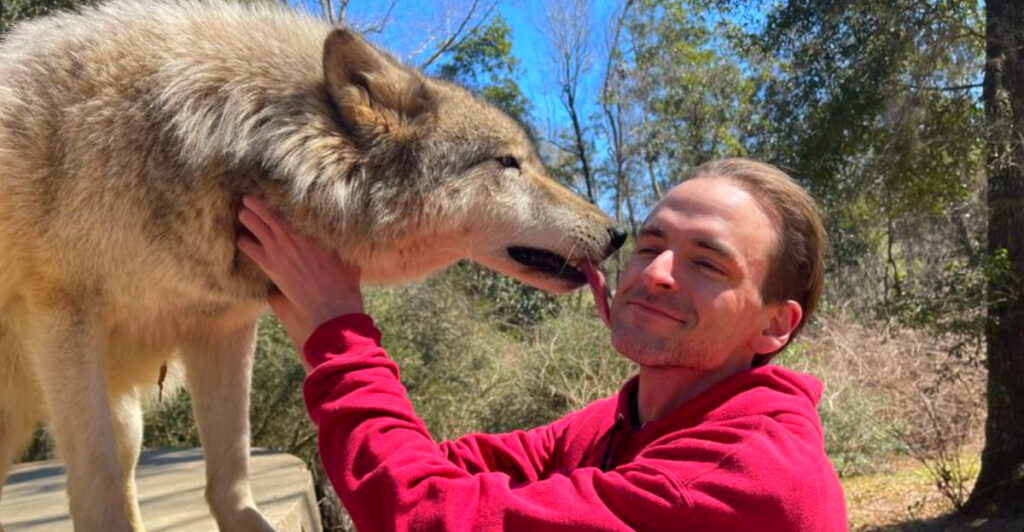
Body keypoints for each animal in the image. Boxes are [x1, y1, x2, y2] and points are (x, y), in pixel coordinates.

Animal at [0, 1, 624, 530]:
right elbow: (98, 480)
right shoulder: (62, 316)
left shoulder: (222, 326)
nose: (618, 233)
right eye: (508, 163)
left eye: (528, 161)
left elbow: (229, 476)